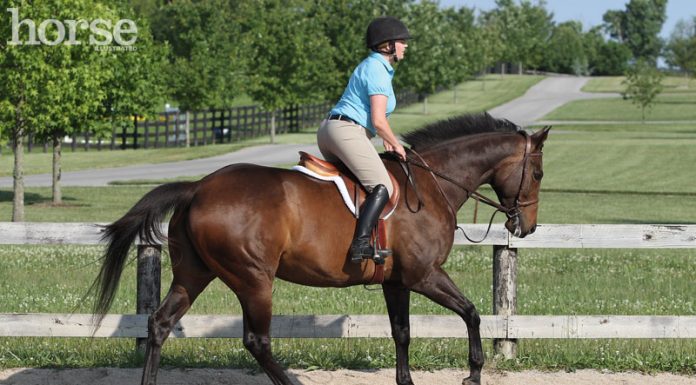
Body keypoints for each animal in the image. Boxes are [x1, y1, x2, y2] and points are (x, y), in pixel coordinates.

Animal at [91, 112, 548, 384]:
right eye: (539, 173)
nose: (526, 227)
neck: (433, 183)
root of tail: (197, 188)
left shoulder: (397, 281)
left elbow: (402, 332)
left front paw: (407, 380)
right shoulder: (424, 275)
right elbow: (471, 313)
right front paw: (473, 373)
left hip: (193, 274)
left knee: (160, 323)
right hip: (253, 279)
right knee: (257, 341)